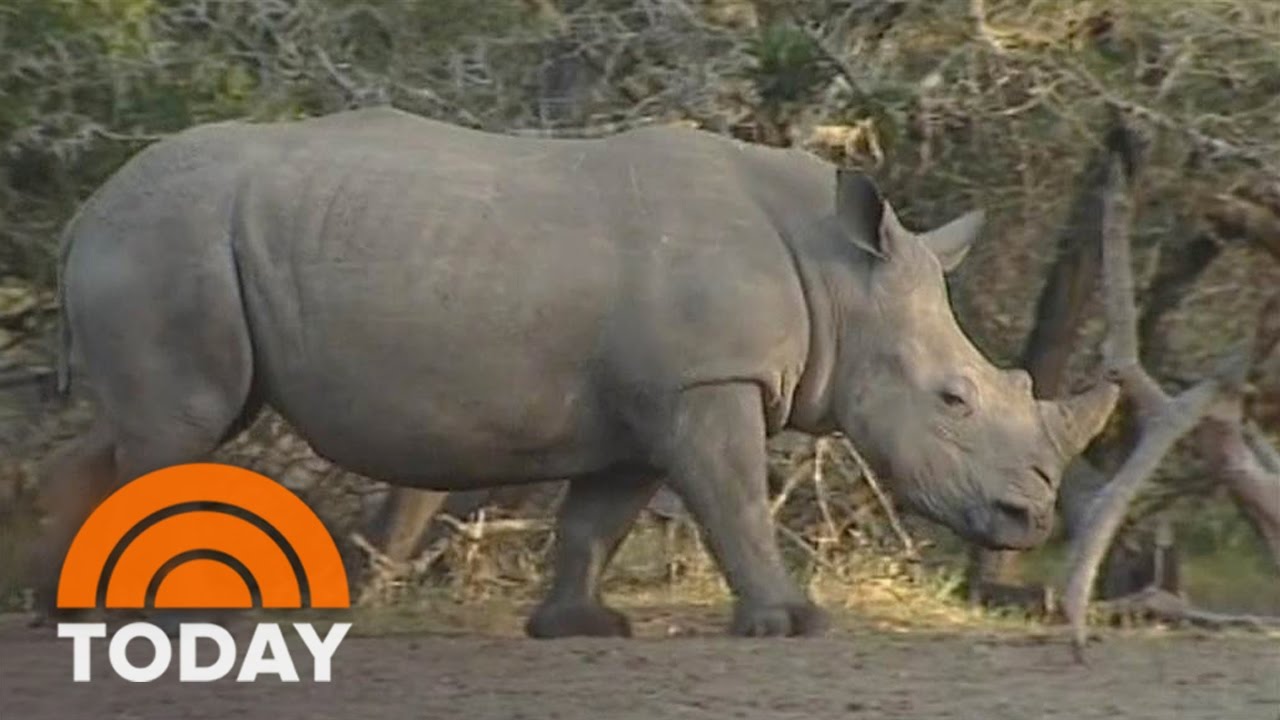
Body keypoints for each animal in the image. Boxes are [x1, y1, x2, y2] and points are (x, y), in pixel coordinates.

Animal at [31, 107, 1117, 637]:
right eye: (953, 399)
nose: (1027, 521)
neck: (837, 275)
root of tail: (85, 209)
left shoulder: (655, 400)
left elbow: (597, 519)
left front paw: (579, 626)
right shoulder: (707, 383)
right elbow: (735, 503)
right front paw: (794, 623)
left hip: (170, 242)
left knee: (138, 427)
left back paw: (64, 617)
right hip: (170, 240)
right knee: (184, 424)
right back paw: (171, 624)